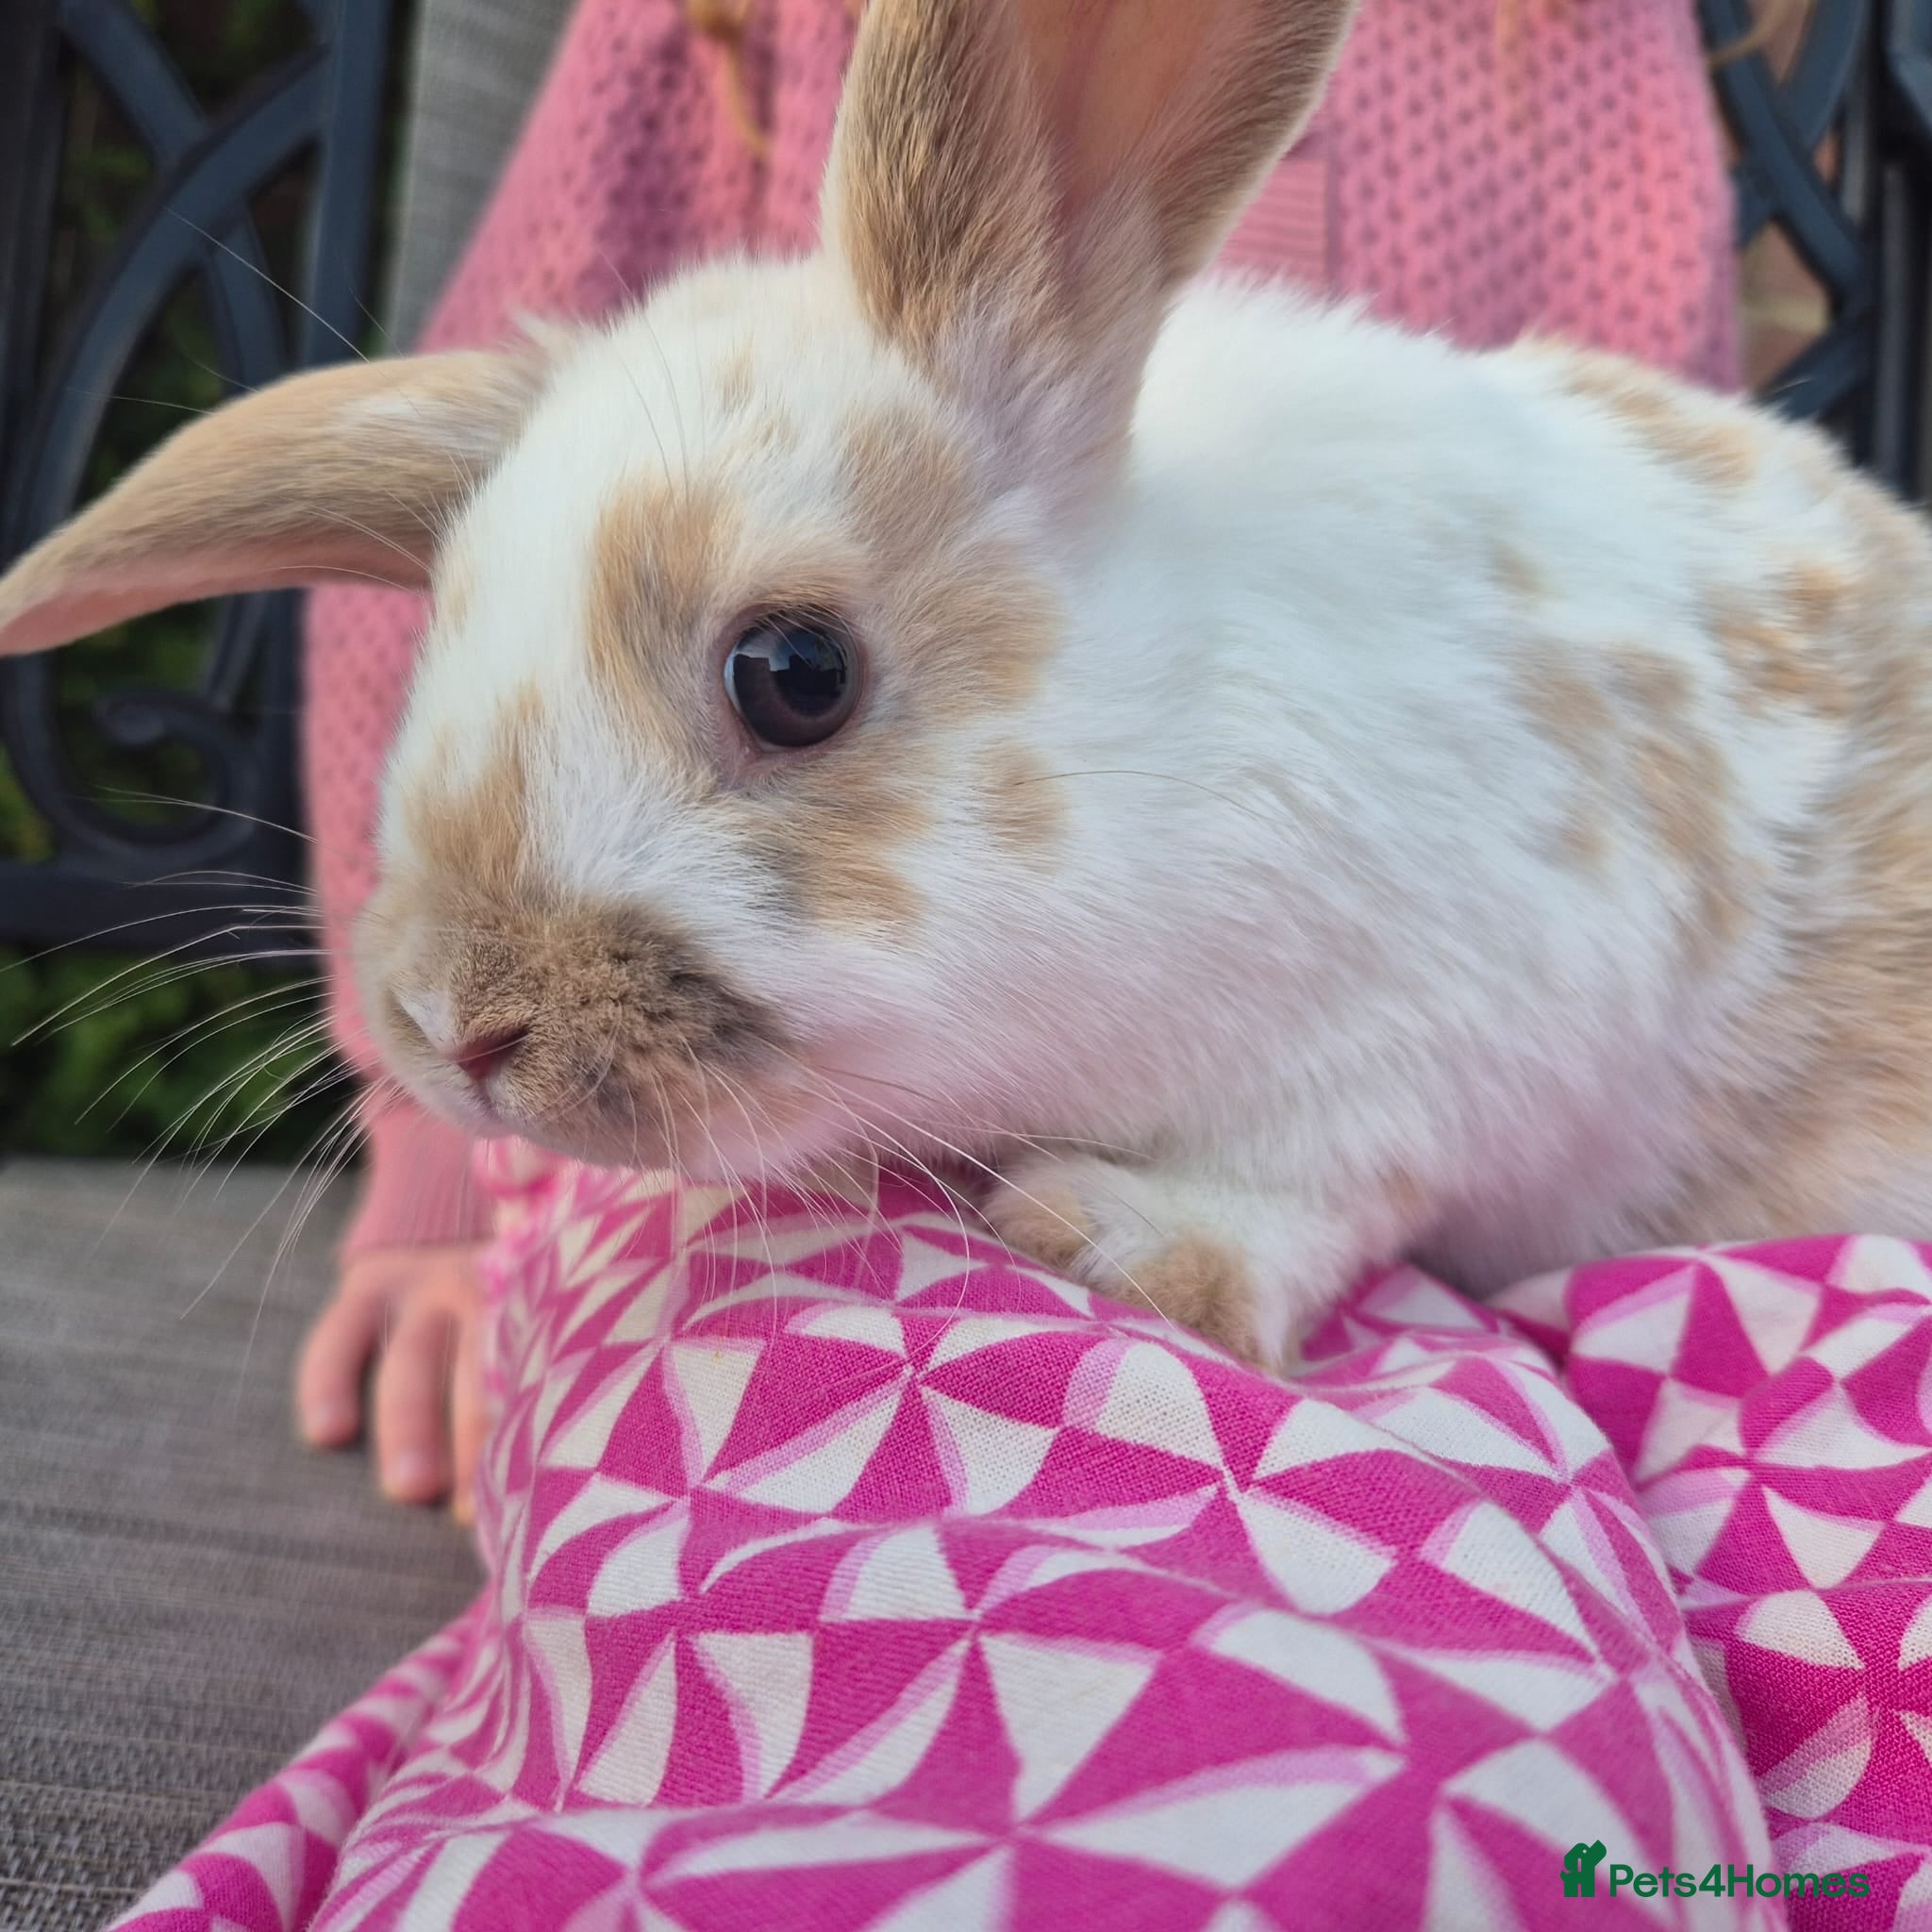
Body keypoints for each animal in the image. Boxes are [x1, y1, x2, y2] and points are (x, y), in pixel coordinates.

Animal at [6, 0, 1932, 1372]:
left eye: (793, 673)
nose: (454, 1030)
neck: (1175, 721)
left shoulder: (1461, 1030)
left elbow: (1315, 1187)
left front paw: (1103, 1240)